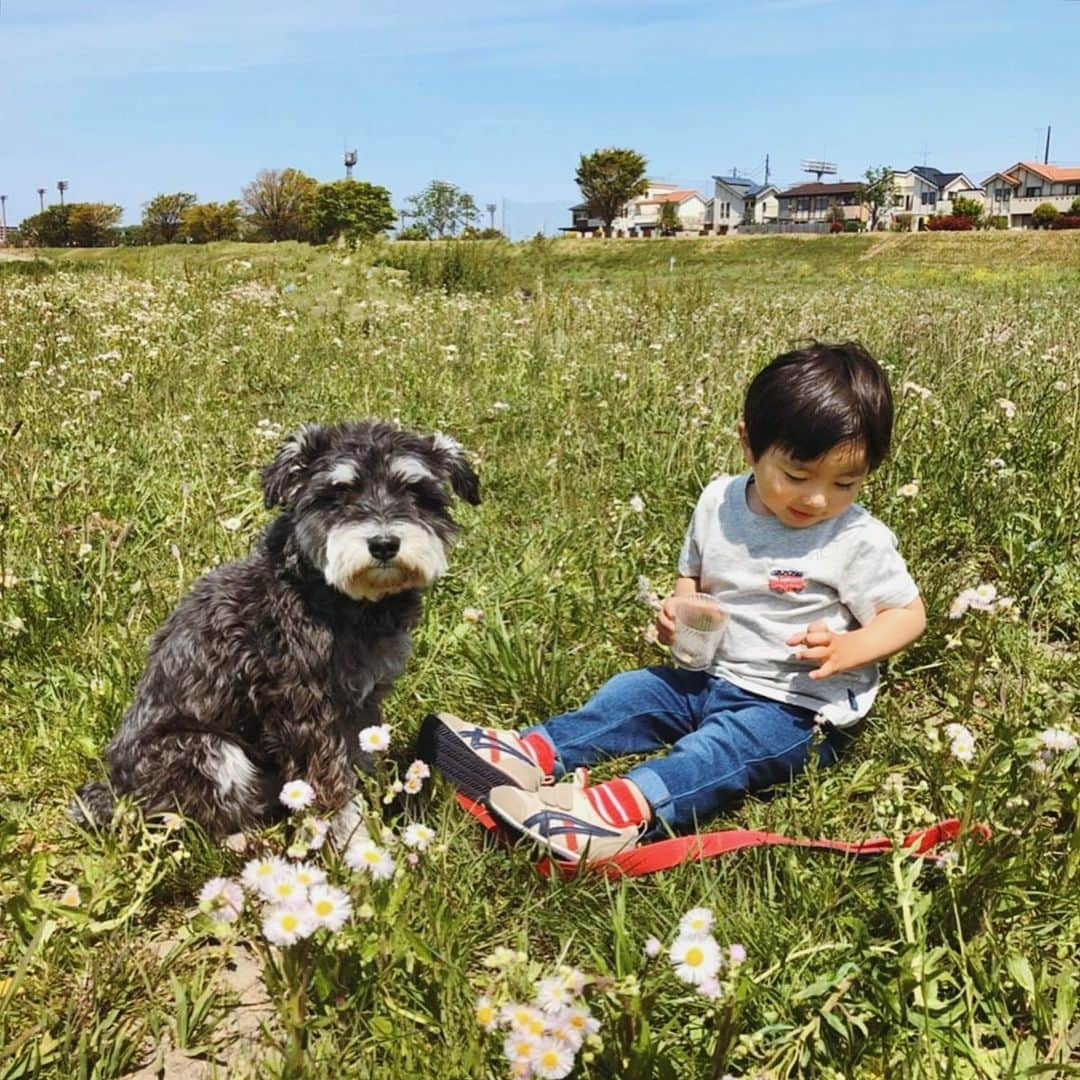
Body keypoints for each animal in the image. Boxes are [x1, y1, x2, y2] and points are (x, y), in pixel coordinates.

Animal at [73, 419, 479, 833]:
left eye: (415, 492)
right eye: (337, 494)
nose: (383, 544)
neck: (326, 593)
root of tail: (115, 792)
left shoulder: (363, 704)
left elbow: (361, 759)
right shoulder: (308, 714)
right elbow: (330, 785)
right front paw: (352, 839)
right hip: (206, 750)